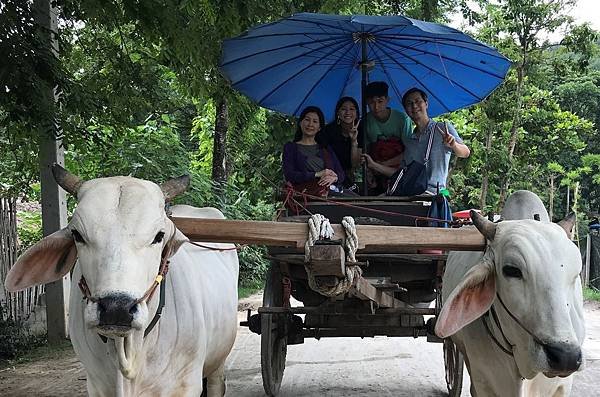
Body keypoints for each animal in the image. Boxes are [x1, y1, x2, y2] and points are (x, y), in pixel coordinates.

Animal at [5, 166, 239, 394]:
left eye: (159, 236)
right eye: (77, 235)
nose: (116, 308)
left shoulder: (185, 385)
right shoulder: (96, 385)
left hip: (218, 362)